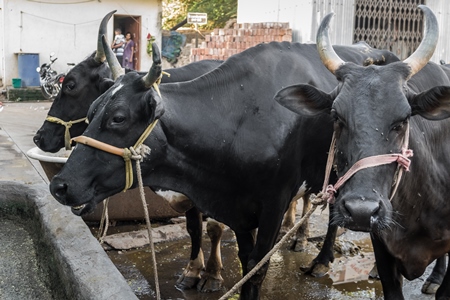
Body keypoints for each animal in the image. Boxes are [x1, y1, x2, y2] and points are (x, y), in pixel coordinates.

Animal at [48, 27, 400, 296]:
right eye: (92, 110)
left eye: (118, 118)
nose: (59, 185)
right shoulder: (235, 209)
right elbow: (233, 253)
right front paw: (197, 273)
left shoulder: (272, 203)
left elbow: (254, 268)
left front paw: (210, 276)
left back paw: (324, 260)